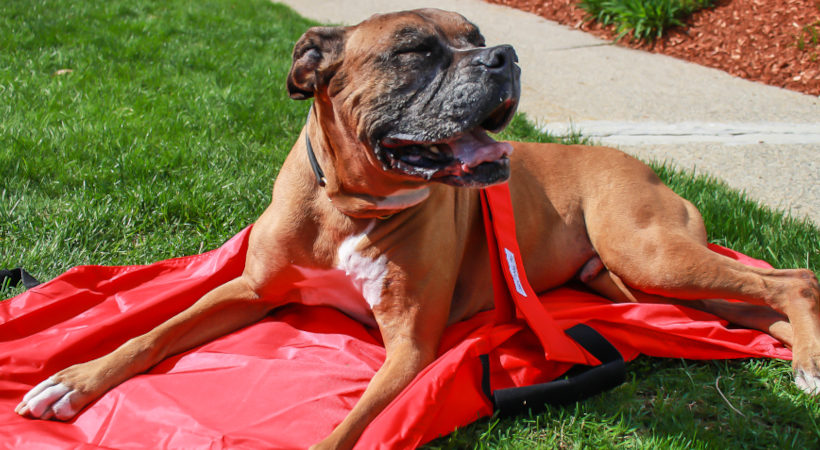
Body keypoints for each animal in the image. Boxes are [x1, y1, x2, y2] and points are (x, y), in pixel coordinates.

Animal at [12, 7, 820, 450]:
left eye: (478, 35)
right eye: (414, 51)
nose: (505, 55)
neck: (349, 206)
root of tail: (638, 163)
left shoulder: (409, 348)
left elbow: (352, 427)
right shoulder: (250, 290)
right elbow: (152, 333)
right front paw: (74, 382)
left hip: (648, 250)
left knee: (795, 277)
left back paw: (809, 360)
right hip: (636, 282)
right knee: (757, 304)